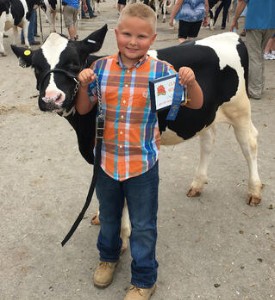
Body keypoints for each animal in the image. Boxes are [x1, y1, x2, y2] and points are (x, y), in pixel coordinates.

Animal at [10, 27, 264, 250]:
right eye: (36, 67)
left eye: (73, 64)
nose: (52, 99)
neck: (84, 130)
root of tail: (230, 36)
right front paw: (102, 215)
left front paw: (122, 237)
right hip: (206, 114)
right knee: (208, 141)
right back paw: (197, 184)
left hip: (239, 108)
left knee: (249, 143)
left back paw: (254, 190)